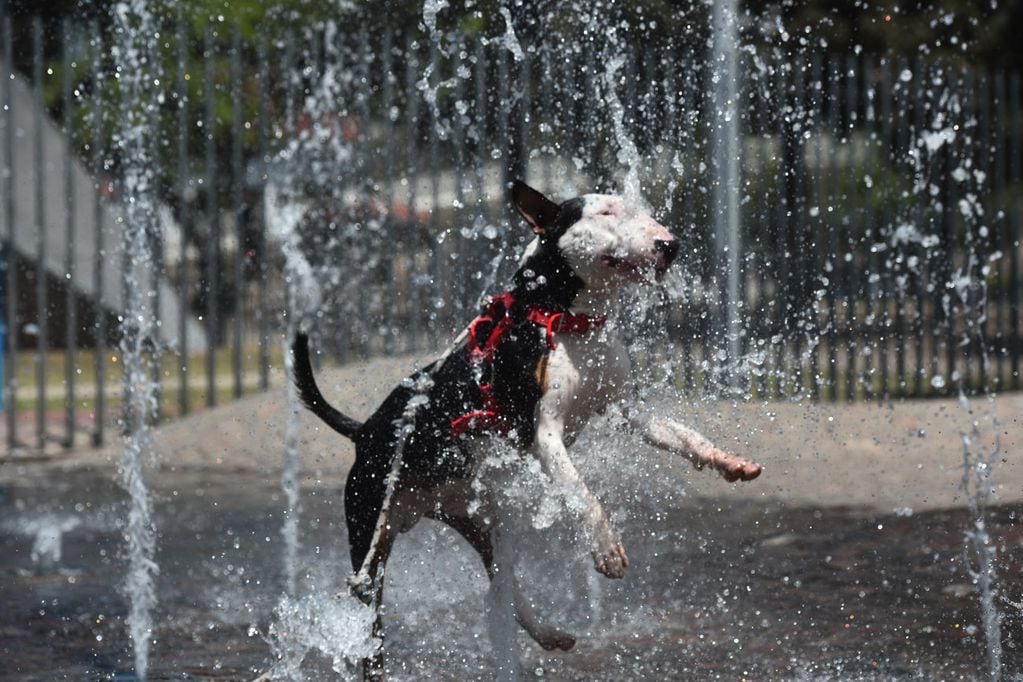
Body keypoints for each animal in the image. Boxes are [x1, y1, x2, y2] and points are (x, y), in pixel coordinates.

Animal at [292, 178, 765, 678]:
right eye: (607, 212)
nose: (669, 245)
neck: (571, 319)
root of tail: (365, 431)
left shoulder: (627, 410)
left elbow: (684, 436)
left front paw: (729, 462)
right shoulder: (544, 434)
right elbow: (583, 496)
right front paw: (605, 550)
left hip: (480, 520)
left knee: (503, 588)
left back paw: (548, 633)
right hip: (371, 537)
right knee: (371, 622)